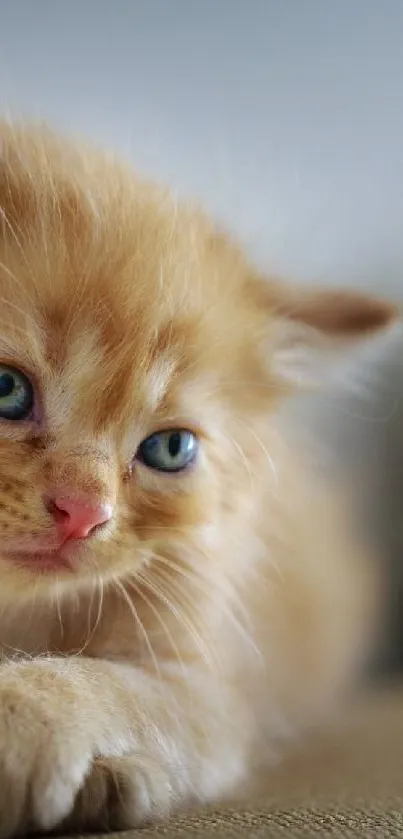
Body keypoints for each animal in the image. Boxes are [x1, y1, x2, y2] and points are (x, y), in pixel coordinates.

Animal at [0, 121, 396, 836]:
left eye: (170, 448)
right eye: (5, 389)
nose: (84, 513)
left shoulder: (204, 689)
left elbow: (97, 682)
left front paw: (30, 728)